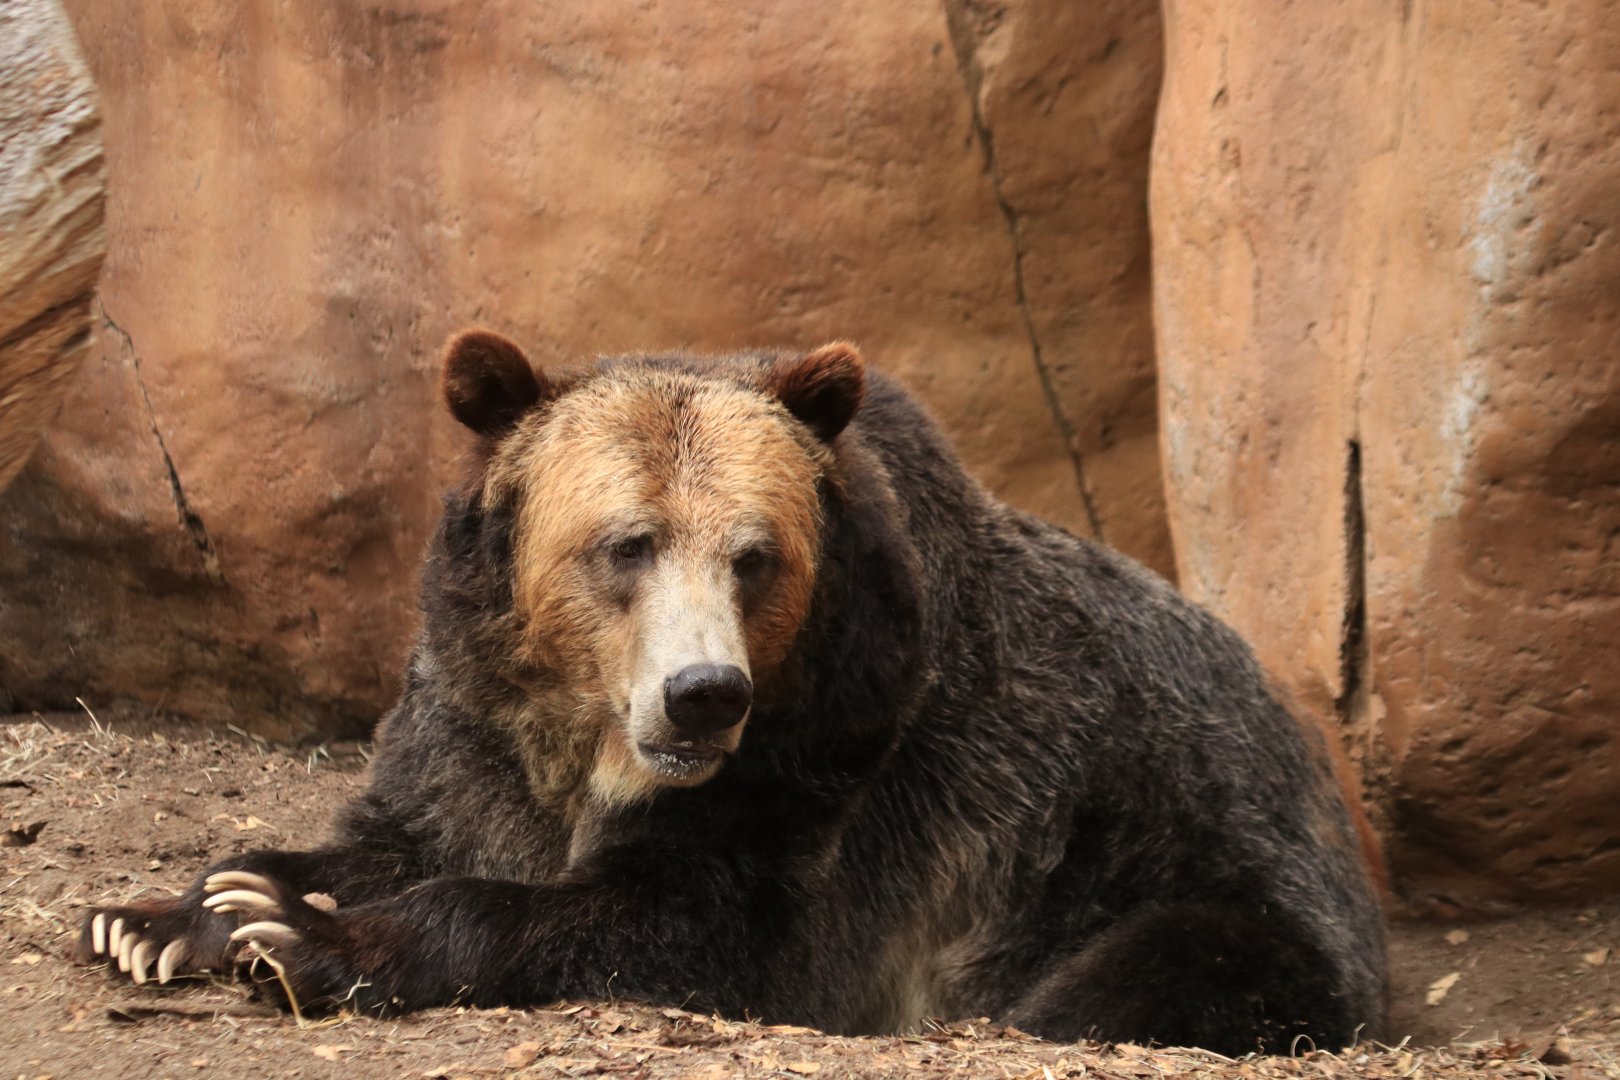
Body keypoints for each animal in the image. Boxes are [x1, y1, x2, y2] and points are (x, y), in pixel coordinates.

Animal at [75, 330, 1388, 1055]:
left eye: (757, 556)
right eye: (627, 544)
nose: (702, 695)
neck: (586, 735)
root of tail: (1317, 768)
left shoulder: (838, 757)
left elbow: (680, 918)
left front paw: (306, 941)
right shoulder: (471, 724)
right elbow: (389, 831)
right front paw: (177, 913)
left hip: (1193, 876)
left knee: (1143, 973)